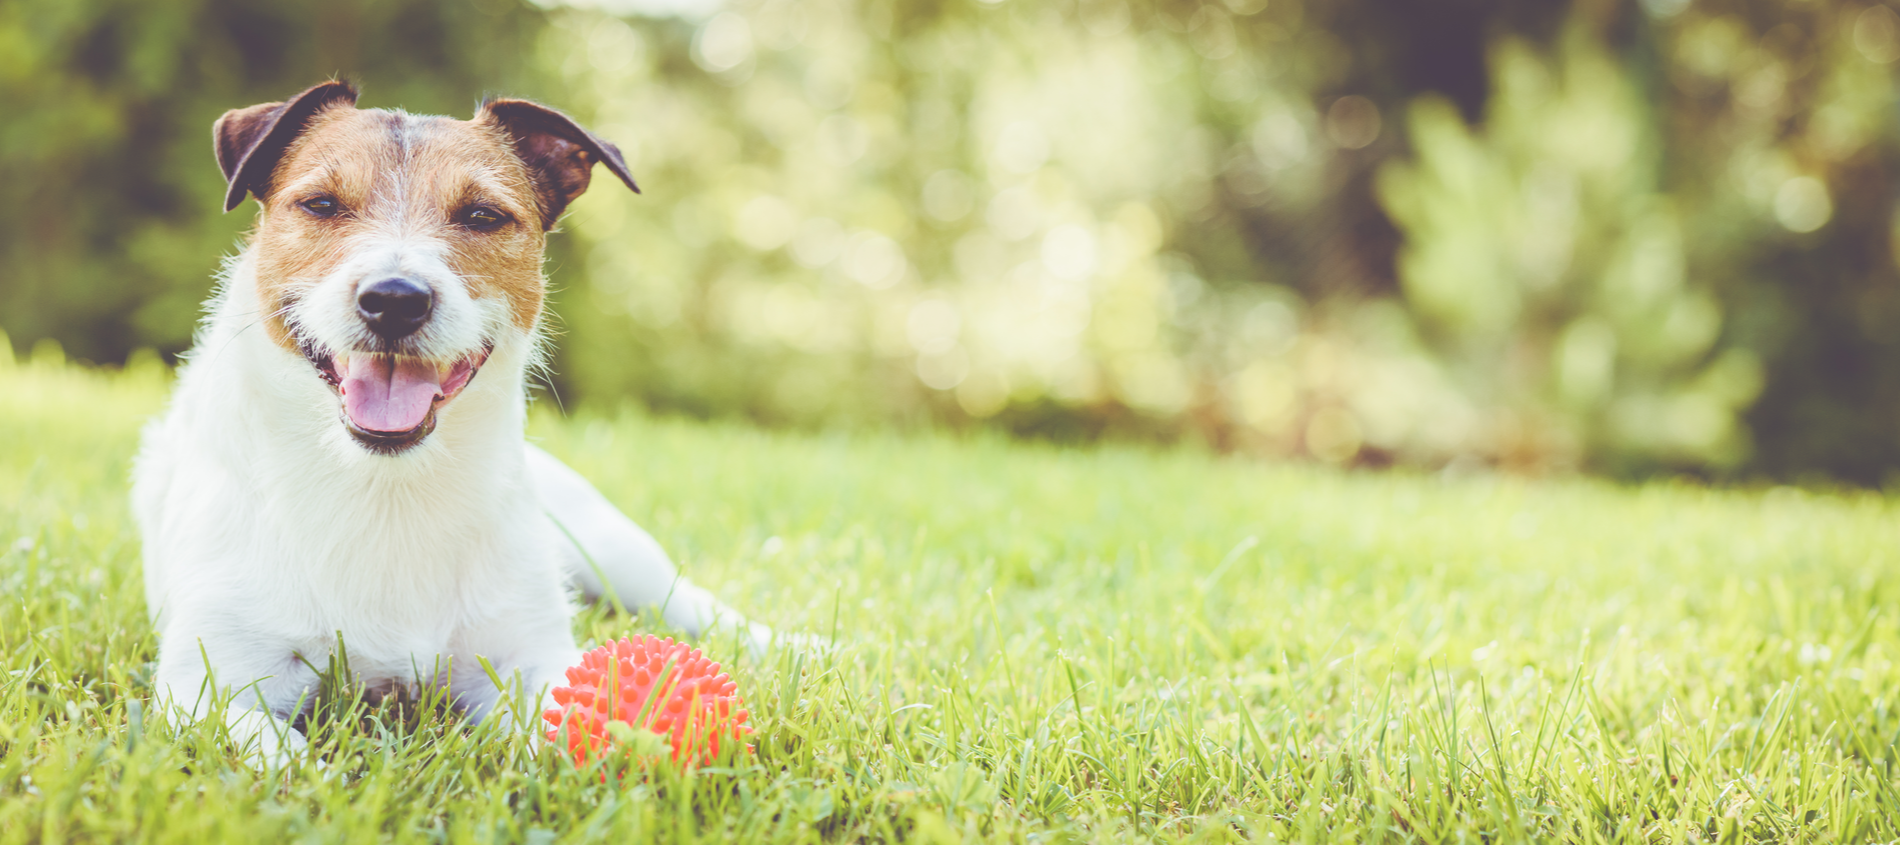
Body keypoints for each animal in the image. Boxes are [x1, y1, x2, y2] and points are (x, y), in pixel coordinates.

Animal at [132, 82, 771, 759]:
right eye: (321, 204)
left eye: (482, 216)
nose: (394, 299)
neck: (384, 488)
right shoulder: (205, 685)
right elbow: (279, 753)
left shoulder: (530, 656)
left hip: (612, 546)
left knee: (699, 607)